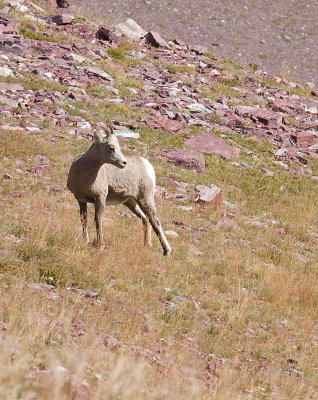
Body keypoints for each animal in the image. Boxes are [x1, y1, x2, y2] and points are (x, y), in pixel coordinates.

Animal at [66, 125, 171, 256]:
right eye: (111, 147)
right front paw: (85, 242)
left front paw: (100, 246)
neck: (83, 174)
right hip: (131, 202)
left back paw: (166, 251)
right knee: (145, 219)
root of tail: (147, 166)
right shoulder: (81, 200)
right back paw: (147, 245)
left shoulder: (100, 198)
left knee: (155, 222)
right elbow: (84, 220)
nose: (123, 163)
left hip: (145, 199)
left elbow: (98, 220)